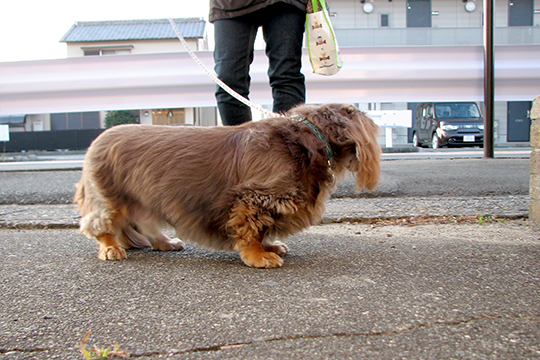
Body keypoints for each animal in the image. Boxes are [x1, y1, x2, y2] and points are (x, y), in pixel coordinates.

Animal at [75, 103, 380, 268]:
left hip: (146, 199)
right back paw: (110, 248)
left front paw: (269, 247)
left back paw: (165, 242)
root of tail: (96, 141)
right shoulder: (254, 197)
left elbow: (264, 228)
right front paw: (258, 255)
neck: (304, 140)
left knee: (145, 225)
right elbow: (252, 230)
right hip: (109, 197)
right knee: (102, 224)